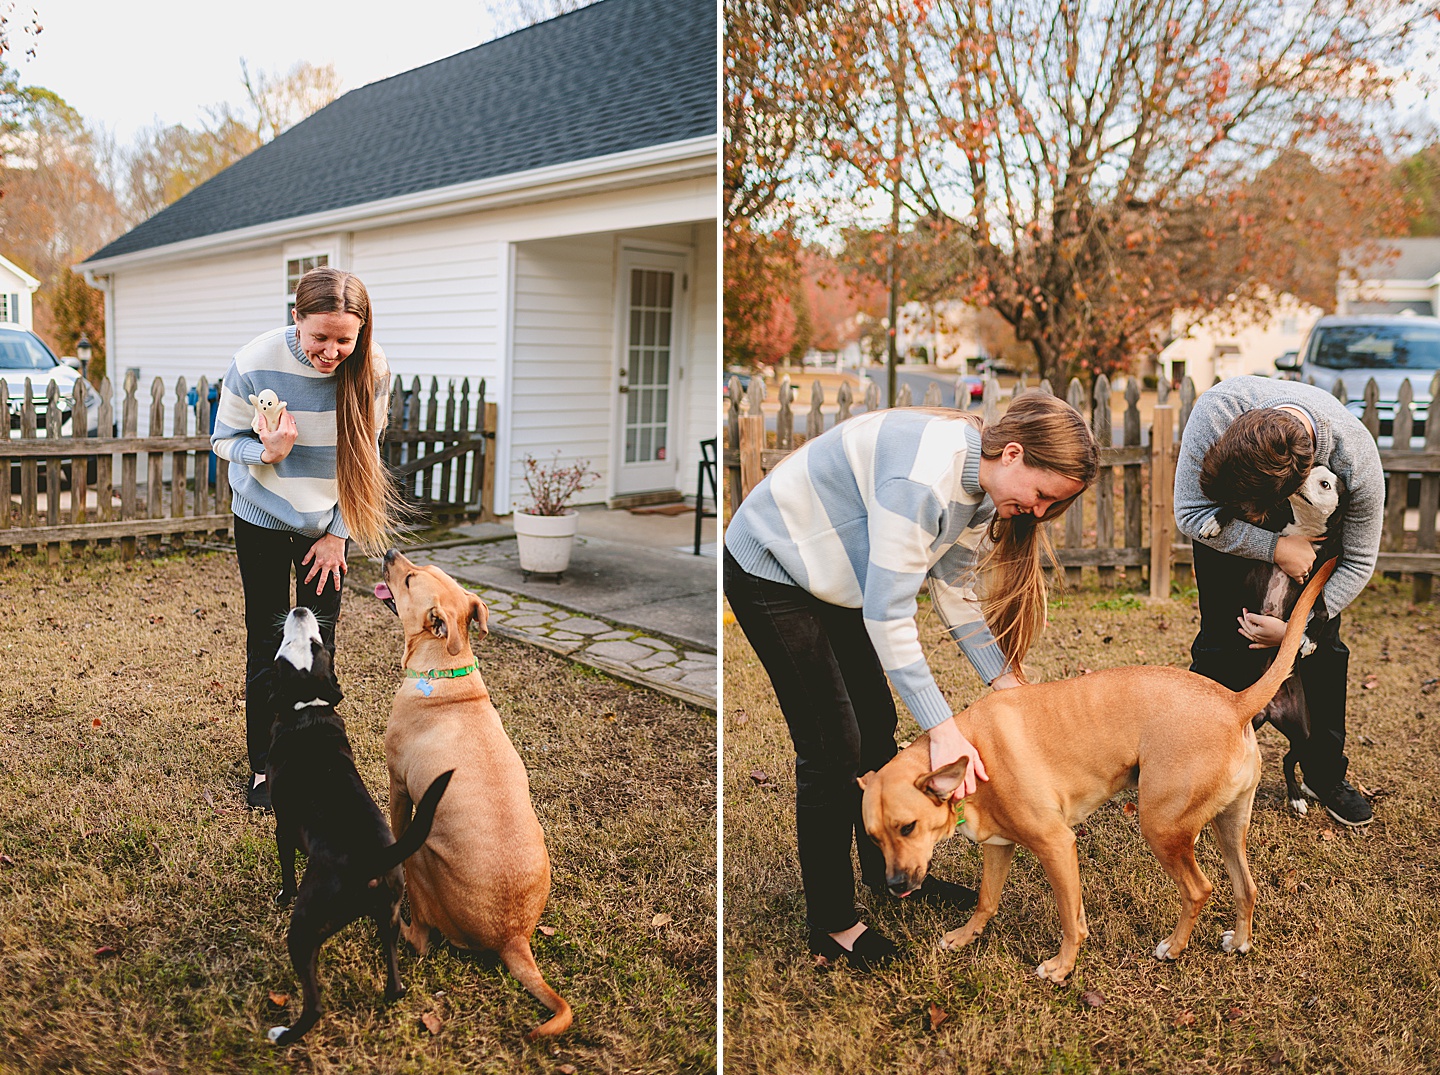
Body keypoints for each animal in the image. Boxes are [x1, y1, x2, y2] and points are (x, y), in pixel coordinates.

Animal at [264, 610, 449, 1047]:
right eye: (318, 643)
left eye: (298, 645)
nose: (301, 611)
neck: (308, 707)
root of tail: (375, 858)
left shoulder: (284, 828)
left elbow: (286, 869)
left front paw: (282, 895)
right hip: (390, 918)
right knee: (396, 983)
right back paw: (389, 994)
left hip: (305, 929)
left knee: (314, 1005)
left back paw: (283, 1034)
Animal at [374, 549, 570, 1036]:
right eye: (418, 570)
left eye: (409, 579)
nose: (389, 552)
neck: (446, 668)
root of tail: (513, 936)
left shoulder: (399, 786)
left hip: (422, 857)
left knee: (423, 939)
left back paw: (402, 928)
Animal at [852, 558, 1336, 990]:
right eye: (872, 838)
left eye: (908, 827)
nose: (894, 886)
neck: (972, 752)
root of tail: (1234, 701)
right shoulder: (999, 846)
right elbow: (987, 901)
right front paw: (964, 936)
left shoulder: (1056, 846)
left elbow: (1071, 920)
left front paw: (1062, 967)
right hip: (1227, 826)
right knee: (1245, 887)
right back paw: (1239, 941)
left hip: (1161, 827)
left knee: (1199, 890)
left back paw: (1174, 948)